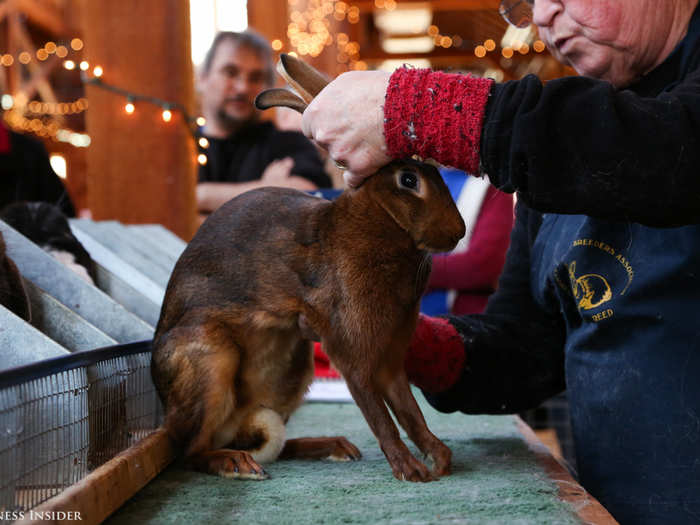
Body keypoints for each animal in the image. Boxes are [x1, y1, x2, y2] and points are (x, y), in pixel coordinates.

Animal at [153, 55, 464, 482]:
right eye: (408, 179)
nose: (458, 232)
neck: (379, 221)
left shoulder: (390, 360)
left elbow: (410, 412)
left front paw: (439, 458)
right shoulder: (353, 354)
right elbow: (381, 416)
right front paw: (411, 470)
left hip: (295, 368)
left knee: (275, 444)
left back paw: (332, 446)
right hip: (210, 362)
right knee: (191, 450)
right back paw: (236, 463)